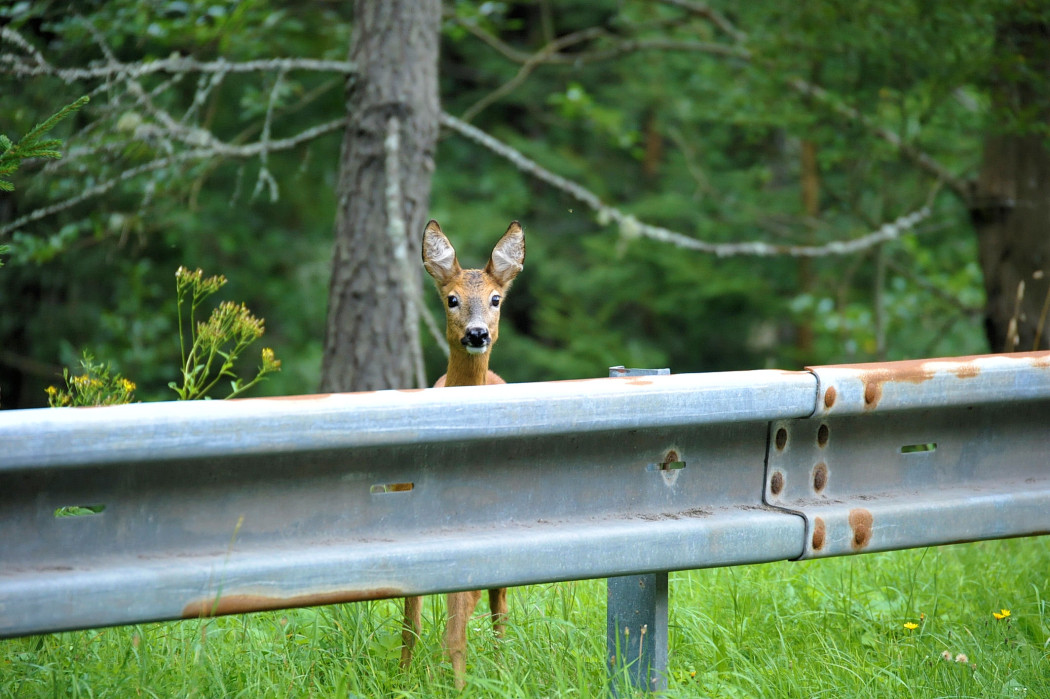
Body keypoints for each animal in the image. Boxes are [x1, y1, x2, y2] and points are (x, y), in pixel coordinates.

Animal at [400, 219, 525, 689]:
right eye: (451, 298)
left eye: (495, 299)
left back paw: (503, 667)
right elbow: (411, 623)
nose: (477, 333)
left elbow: (455, 630)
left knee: (498, 609)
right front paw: (401, 678)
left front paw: (455, 685)